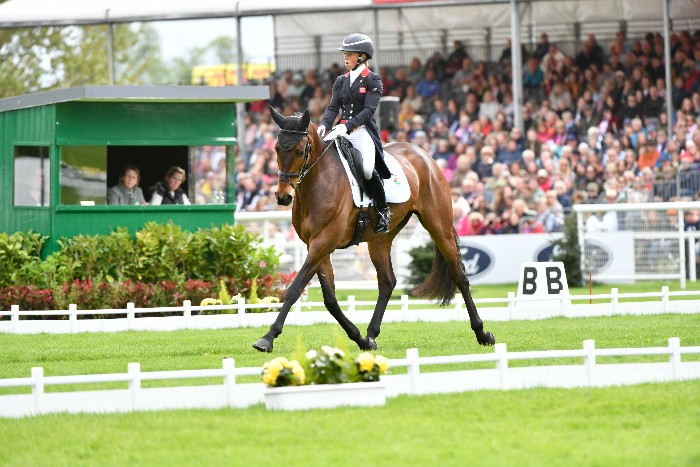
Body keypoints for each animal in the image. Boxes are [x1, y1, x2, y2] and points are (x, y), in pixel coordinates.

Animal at [252, 106, 495, 352]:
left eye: (300, 151)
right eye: (276, 149)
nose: (283, 197)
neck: (318, 181)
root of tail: (424, 156)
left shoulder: (324, 241)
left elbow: (294, 289)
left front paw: (267, 338)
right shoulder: (316, 245)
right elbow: (330, 299)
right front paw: (358, 337)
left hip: (439, 226)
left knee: (459, 275)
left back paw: (482, 333)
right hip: (380, 239)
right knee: (387, 282)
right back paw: (370, 335)